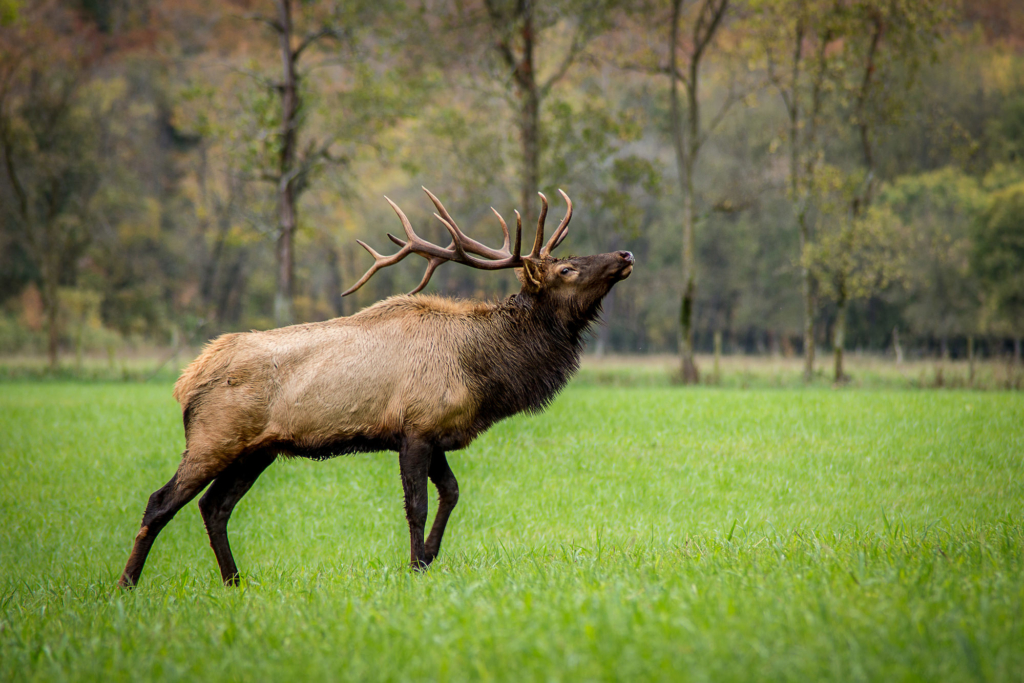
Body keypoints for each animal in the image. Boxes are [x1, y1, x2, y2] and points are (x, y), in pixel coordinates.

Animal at [119, 188, 634, 587]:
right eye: (566, 270)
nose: (625, 255)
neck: (481, 370)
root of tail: (186, 381)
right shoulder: (415, 430)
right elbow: (417, 505)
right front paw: (415, 567)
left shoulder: (436, 434)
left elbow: (451, 493)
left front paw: (429, 558)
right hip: (214, 437)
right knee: (161, 502)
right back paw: (127, 584)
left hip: (256, 450)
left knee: (214, 507)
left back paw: (233, 582)